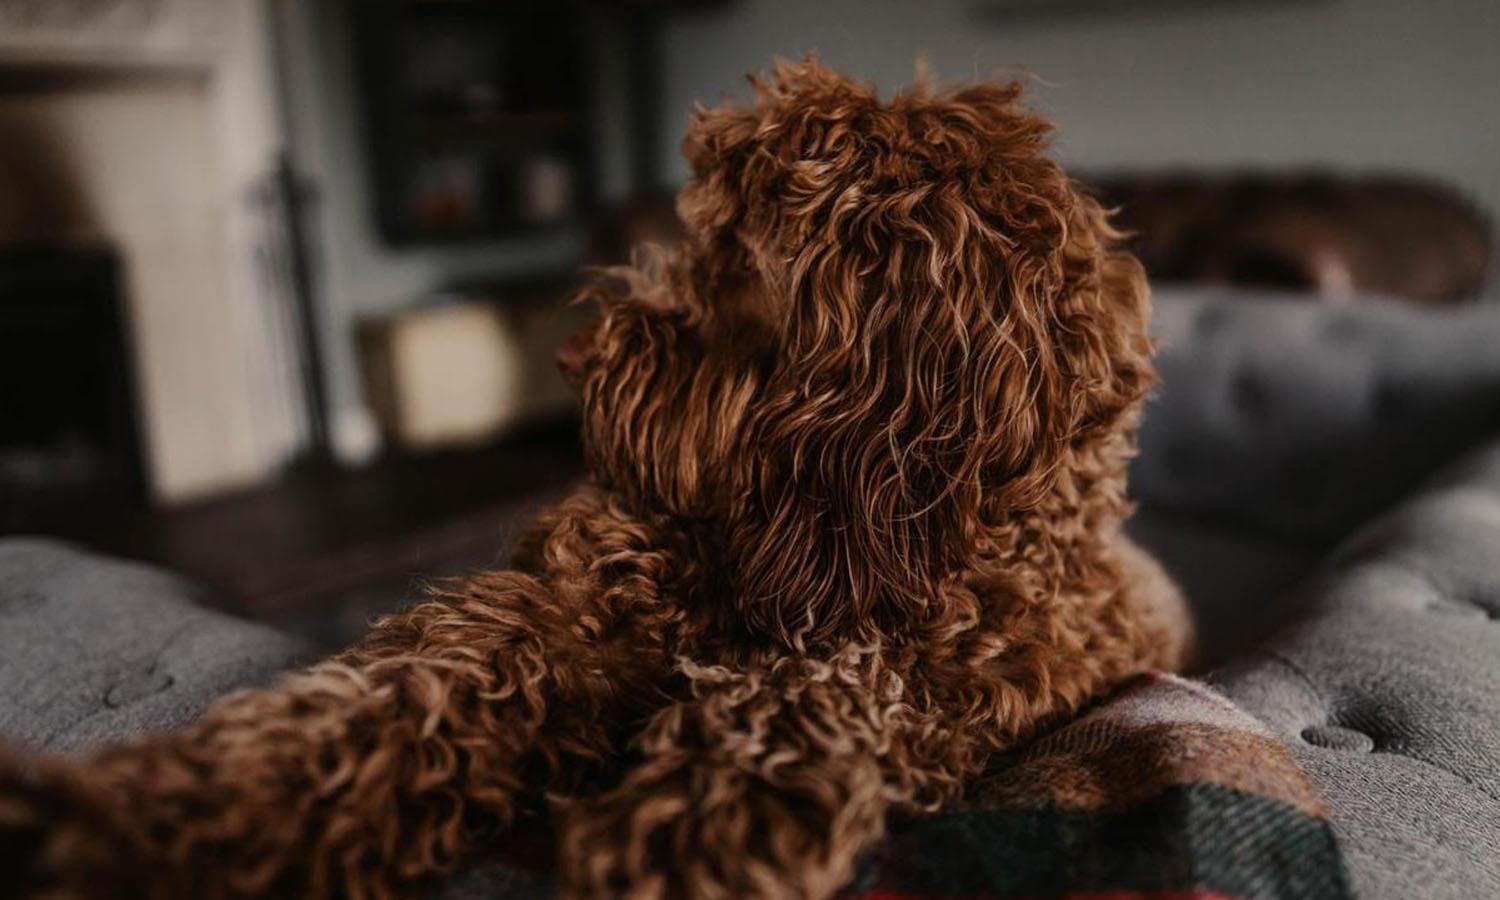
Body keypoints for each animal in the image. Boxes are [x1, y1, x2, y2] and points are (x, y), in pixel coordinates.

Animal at [2, 59, 1194, 894]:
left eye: (740, 262)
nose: (576, 357)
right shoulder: (562, 619)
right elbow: (395, 698)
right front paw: (153, 821)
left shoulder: (979, 657)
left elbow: (838, 684)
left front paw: (700, 814)